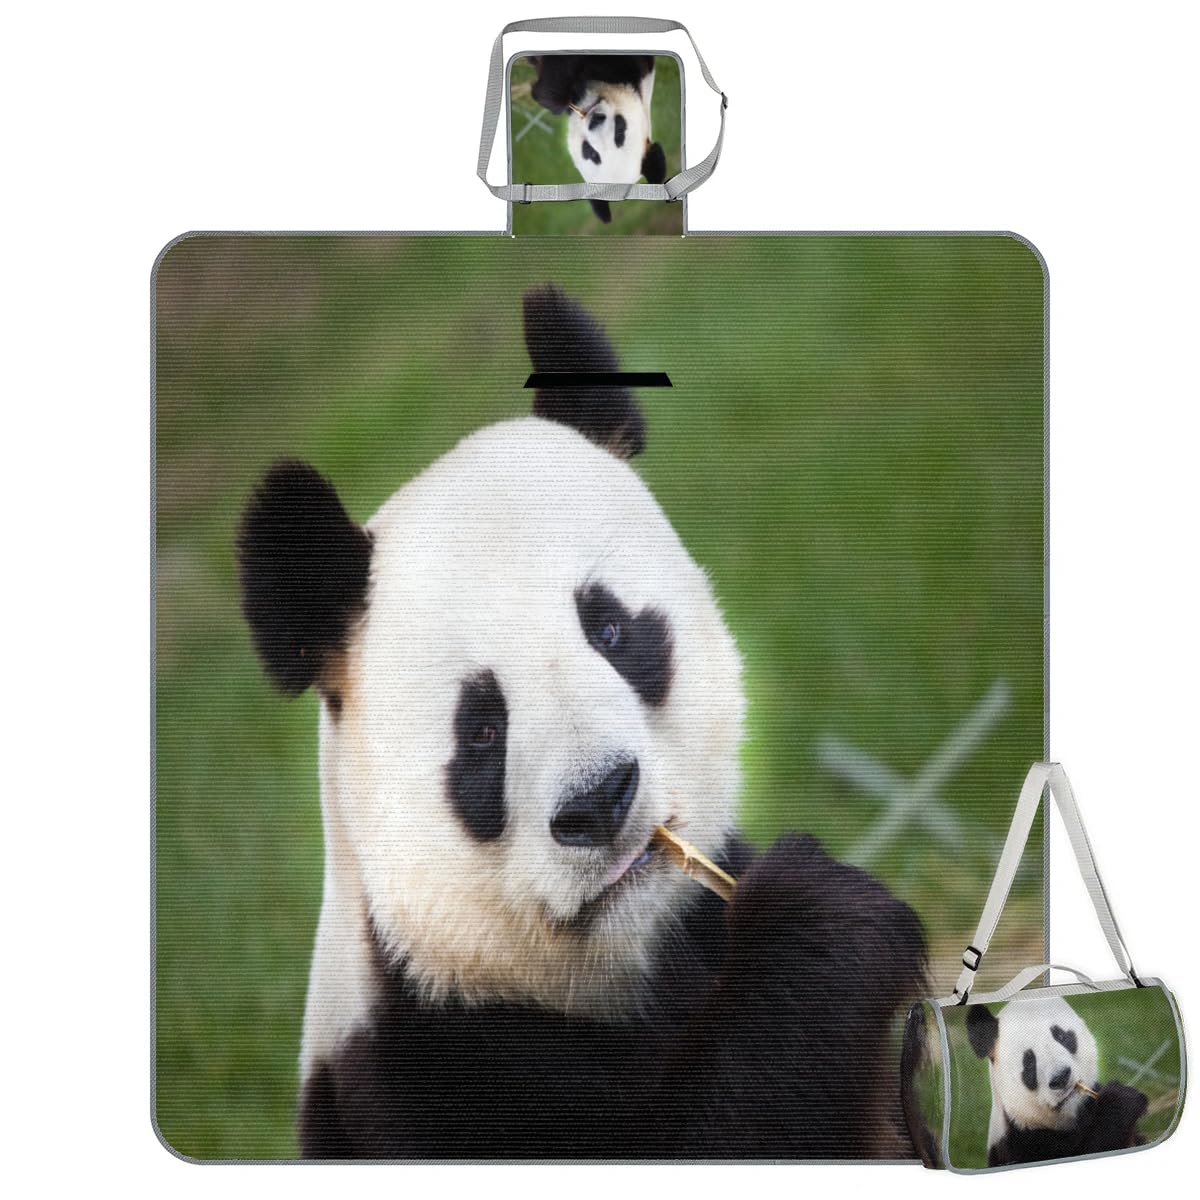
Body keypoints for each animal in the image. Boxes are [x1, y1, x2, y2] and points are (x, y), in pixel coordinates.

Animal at [237, 283, 927, 1159]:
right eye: (483, 729)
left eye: (611, 631)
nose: (600, 802)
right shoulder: (419, 1071)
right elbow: (717, 1128)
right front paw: (822, 921)